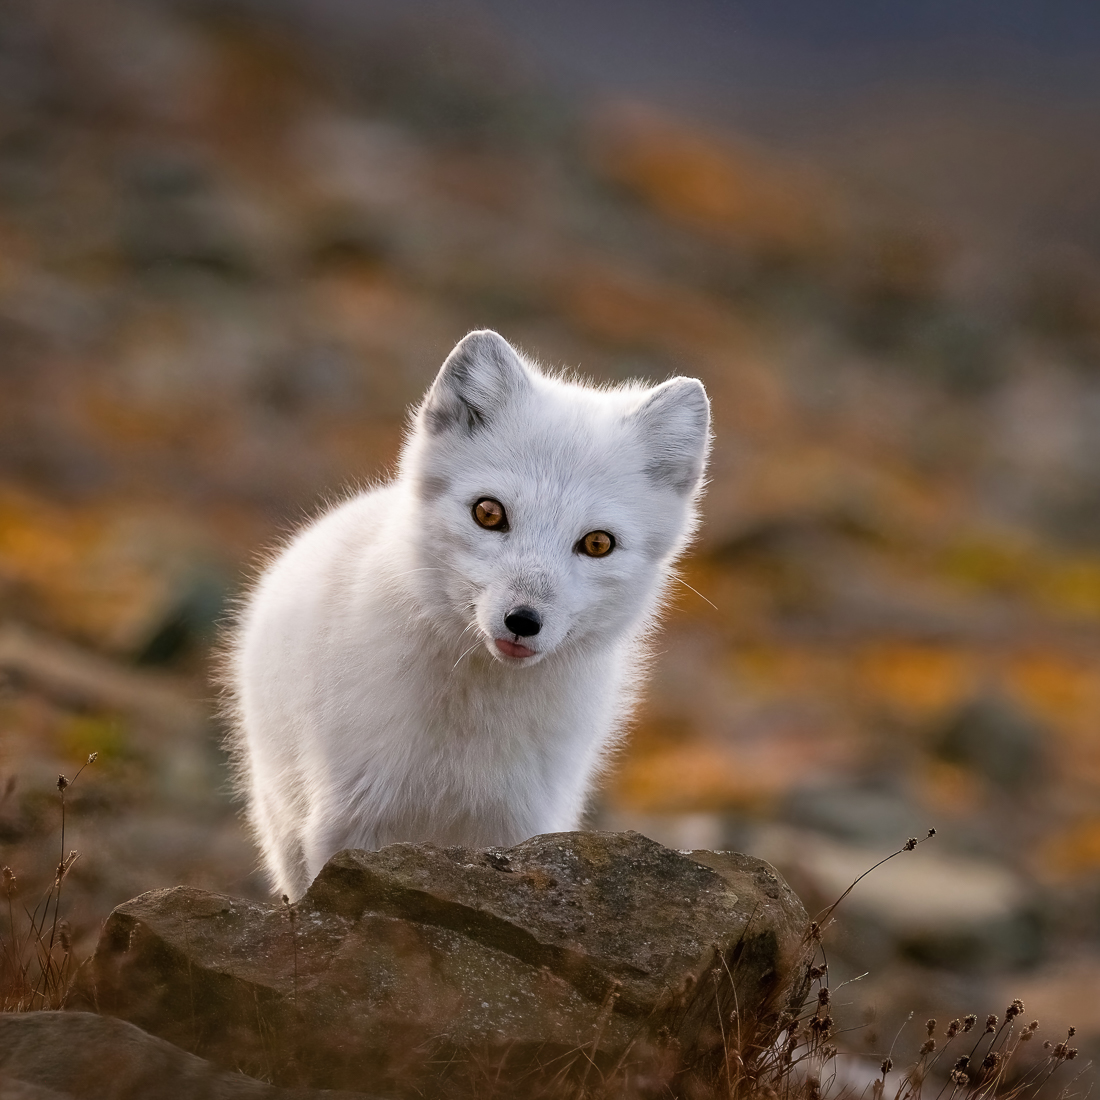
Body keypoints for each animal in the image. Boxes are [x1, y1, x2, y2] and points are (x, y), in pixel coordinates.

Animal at [229, 330, 712, 897]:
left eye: (598, 543)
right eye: (489, 512)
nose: (523, 621)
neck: (467, 737)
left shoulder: (519, 825)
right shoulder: (349, 822)